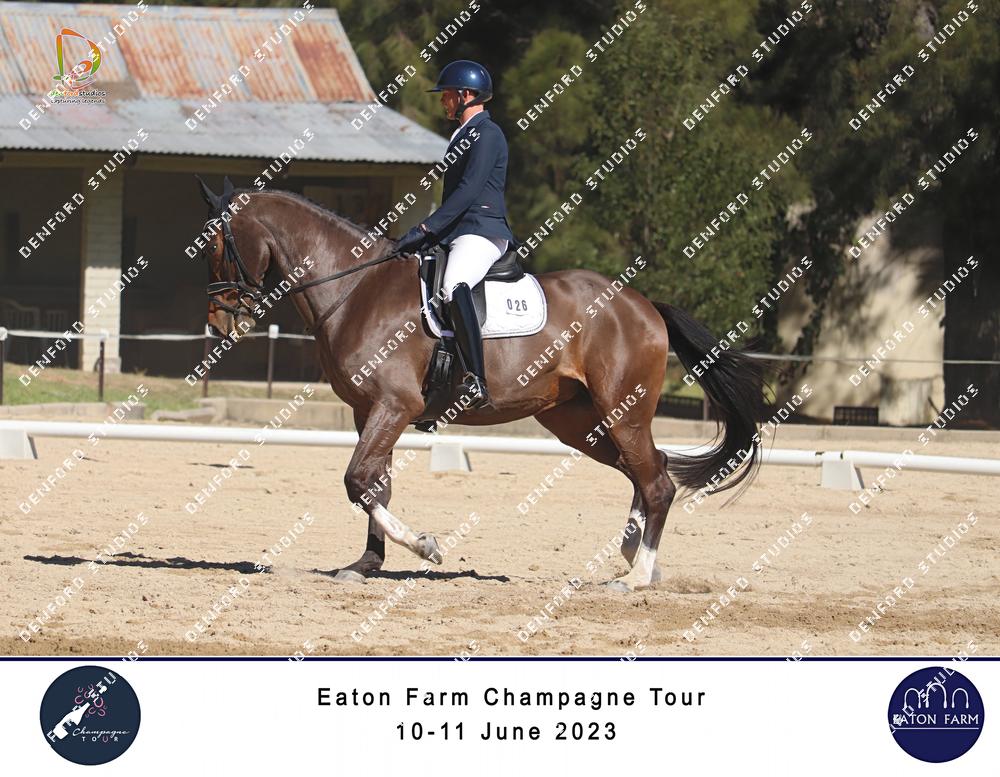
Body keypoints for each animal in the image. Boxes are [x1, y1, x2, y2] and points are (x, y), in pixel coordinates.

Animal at [195, 177, 763, 591]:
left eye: (217, 246)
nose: (218, 324)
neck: (354, 287)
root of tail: (644, 305)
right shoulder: (367, 410)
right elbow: (374, 484)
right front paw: (365, 565)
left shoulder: (394, 405)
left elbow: (357, 480)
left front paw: (426, 546)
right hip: (578, 420)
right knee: (647, 471)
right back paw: (634, 557)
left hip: (620, 409)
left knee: (657, 481)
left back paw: (638, 576)